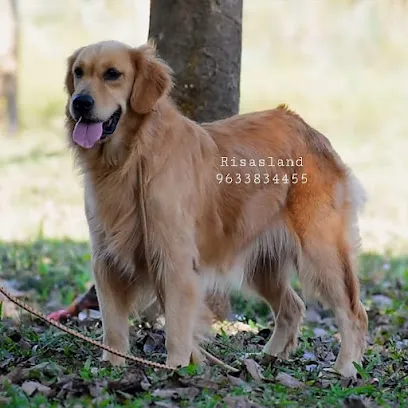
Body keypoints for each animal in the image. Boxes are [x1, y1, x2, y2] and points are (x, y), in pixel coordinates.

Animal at [64, 39, 370, 378]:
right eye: (79, 72)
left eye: (112, 74)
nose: (80, 102)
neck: (131, 159)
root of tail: (306, 128)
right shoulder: (106, 261)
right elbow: (114, 328)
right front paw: (112, 367)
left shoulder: (175, 262)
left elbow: (176, 329)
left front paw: (175, 369)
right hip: (262, 263)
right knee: (293, 306)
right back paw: (267, 359)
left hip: (322, 250)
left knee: (353, 312)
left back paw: (345, 367)